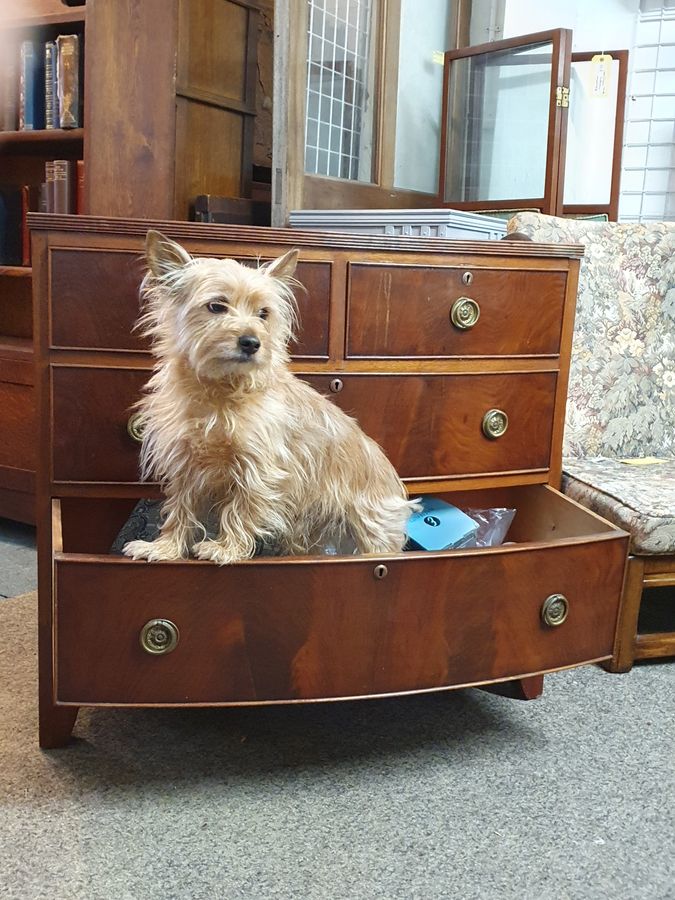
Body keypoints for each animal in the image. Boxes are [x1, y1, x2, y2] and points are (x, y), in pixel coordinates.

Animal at [123, 230, 418, 564]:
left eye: (263, 314)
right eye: (217, 306)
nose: (252, 342)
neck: (220, 391)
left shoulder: (257, 468)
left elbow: (240, 508)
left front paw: (226, 548)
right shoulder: (185, 466)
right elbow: (179, 510)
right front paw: (164, 548)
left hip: (372, 528)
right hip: (306, 531)